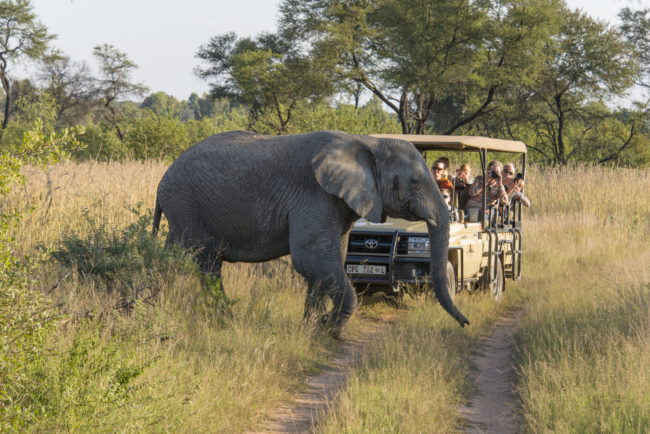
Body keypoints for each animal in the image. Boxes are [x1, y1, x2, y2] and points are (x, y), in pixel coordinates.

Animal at [152, 131, 466, 338]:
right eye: (414, 182)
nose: (466, 324)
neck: (370, 142)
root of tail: (162, 180)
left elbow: (328, 260)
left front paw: (311, 328)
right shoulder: (315, 196)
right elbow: (311, 258)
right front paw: (328, 329)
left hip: (183, 211)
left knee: (179, 260)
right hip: (187, 206)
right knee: (204, 263)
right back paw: (218, 320)